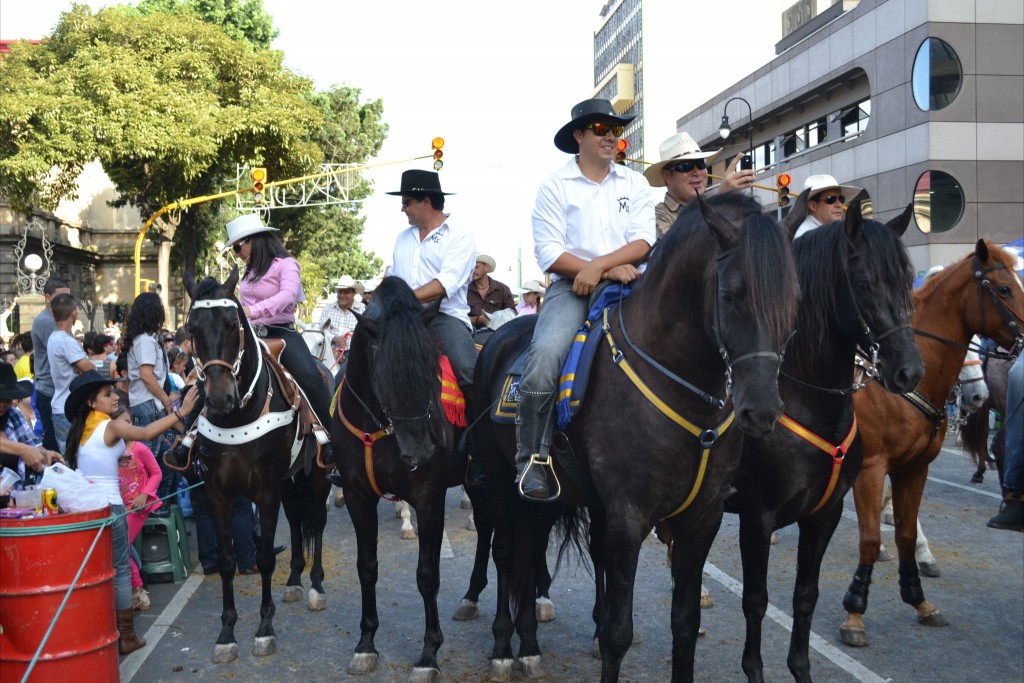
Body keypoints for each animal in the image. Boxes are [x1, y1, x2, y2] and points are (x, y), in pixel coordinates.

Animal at [180, 270, 331, 663]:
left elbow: (263, 556)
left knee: (316, 520)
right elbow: (227, 559)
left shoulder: (264, 492)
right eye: (191, 329)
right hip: (290, 481)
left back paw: (316, 585)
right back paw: (294, 580)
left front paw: (264, 628)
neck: (238, 417)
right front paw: (226, 632)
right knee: (296, 518)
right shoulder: (217, 494)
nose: (220, 398)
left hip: (318, 474)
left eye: (232, 324)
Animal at [329, 276, 466, 683]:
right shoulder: (358, 496)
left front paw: (429, 652)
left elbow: (427, 575)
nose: (420, 450)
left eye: (431, 367)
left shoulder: (429, 498)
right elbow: (367, 567)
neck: (378, 427)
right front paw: (365, 644)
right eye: (385, 370)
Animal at [468, 193, 802, 683]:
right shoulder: (628, 517)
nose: (761, 409)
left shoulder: (702, 516)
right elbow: (617, 634)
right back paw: (500, 647)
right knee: (508, 552)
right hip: (498, 481)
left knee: (529, 552)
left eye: (794, 299)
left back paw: (528, 645)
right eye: (729, 294)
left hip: (545, 500)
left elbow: (685, 623)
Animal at [733, 204, 925, 683]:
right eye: (864, 283)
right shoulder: (757, 517)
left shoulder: (824, 514)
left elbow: (805, 596)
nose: (909, 371)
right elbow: (755, 601)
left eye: (906, 280)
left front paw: (800, 669)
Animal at [839, 240, 1024, 647]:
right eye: (1004, 289)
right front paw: (854, 613)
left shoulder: (914, 466)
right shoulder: (870, 466)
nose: (976, 396)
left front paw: (919, 598)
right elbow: (870, 538)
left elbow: (906, 533)